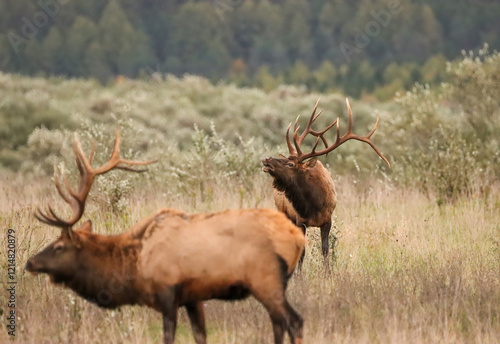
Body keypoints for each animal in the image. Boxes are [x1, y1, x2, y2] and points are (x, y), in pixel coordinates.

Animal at [26, 130, 304, 344]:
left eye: (59, 246)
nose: (30, 262)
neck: (134, 265)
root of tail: (297, 239)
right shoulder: (193, 298)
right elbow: (200, 336)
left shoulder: (167, 293)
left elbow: (168, 337)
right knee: (279, 324)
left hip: (266, 280)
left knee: (294, 321)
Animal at [262, 99, 390, 272]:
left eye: (290, 163)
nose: (266, 160)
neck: (313, 205)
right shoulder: (300, 220)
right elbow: (302, 252)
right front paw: (299, 276)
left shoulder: (328, 220)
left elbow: (325, 249)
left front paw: (328, 274)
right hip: (284, 213)